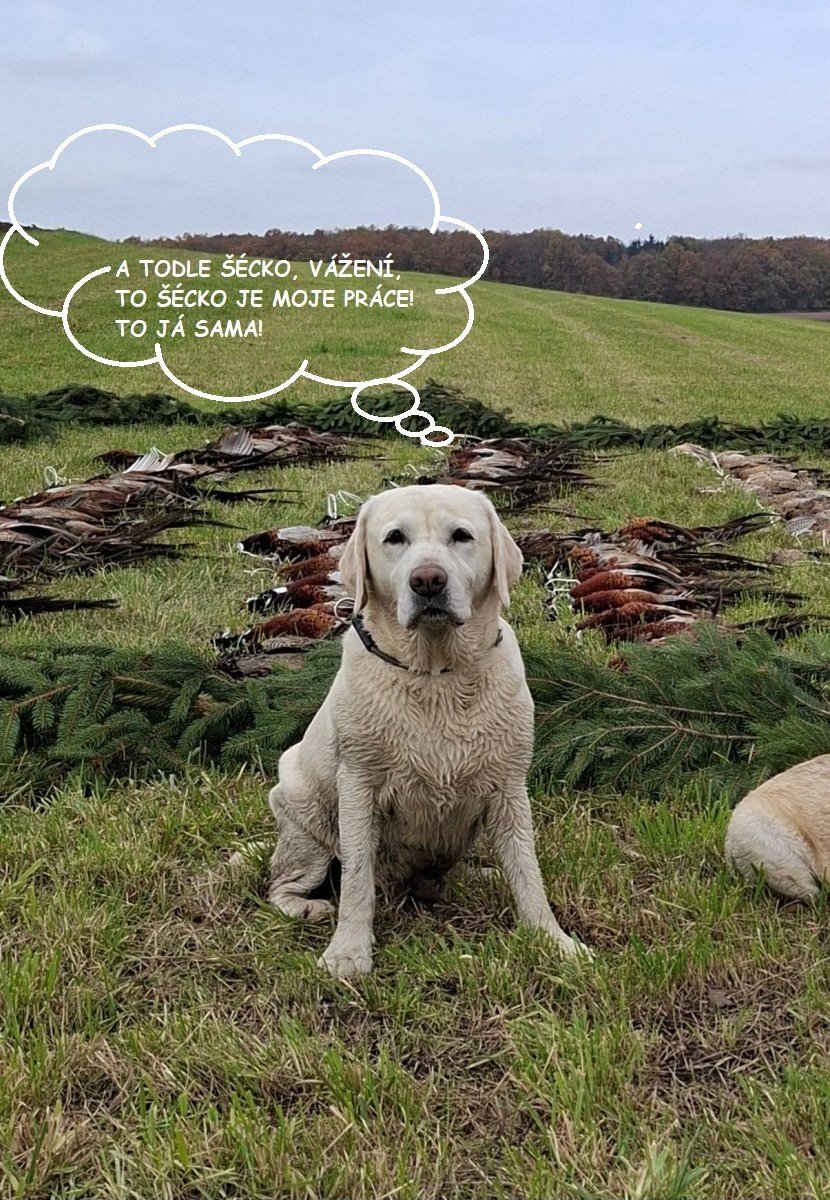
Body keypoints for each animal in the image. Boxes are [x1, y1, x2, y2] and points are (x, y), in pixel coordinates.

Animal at [267, 483, 586, 977]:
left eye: (462, 536)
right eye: (395, 538)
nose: (428, 580)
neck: (436, 674)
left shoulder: (509, 789)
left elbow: (527, 870)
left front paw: (552, 940)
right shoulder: (358, 787)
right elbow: (357, 879)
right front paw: (348, 952)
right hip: (304, 815)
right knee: (282, 883)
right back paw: (306, 906)